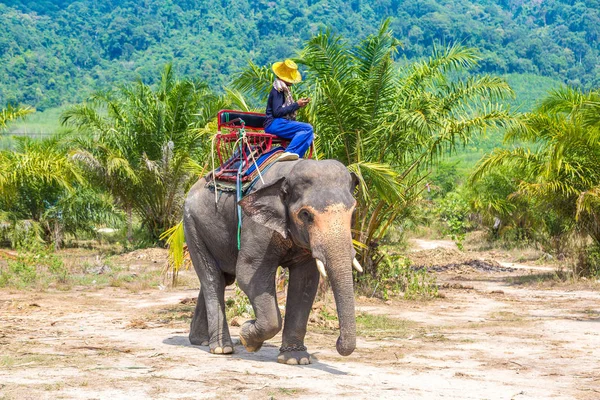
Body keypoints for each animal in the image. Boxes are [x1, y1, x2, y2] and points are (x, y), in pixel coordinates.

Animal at [183, 158, 360, 364]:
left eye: (353, 211)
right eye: (305, 214)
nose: (337, 341)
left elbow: (305, 282)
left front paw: (295, 359)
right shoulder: (256, 227)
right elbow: (248, 274)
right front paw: (247, 336)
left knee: (221, 278)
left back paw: (200, 341)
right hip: (192, 225)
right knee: (212, 279)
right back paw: (222, 348)